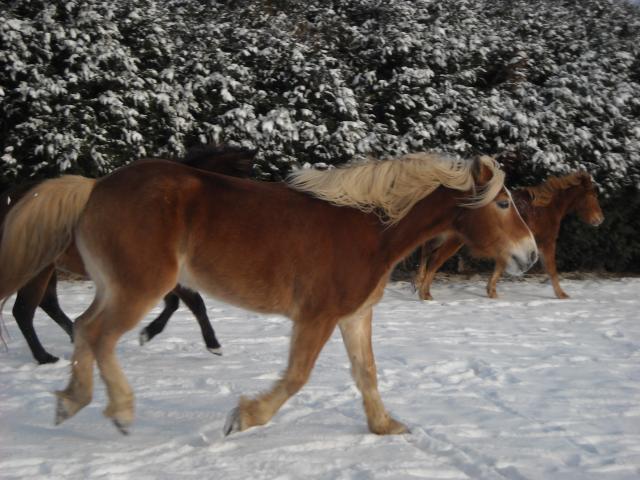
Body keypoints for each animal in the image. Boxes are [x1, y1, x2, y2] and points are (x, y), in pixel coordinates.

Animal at [1, 144, 258, 362]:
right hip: (38, 271)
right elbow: (195, 304)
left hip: (48, 270)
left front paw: (149, 332)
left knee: (48, 304)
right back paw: (45, 357)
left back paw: (74, 337)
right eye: (241, 179)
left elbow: (174, 303)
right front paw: (213, 344)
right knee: (24, 311)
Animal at [416, 172, 604, 300]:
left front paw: (491, 291)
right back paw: (425, 293)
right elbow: (551, 269)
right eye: (592, 195)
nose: (599, 220)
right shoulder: (547, 242)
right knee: (435, 259)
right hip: (453, 241)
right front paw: (561, 294)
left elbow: (500, 265)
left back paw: (418, 284)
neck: (545, 209)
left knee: (425, 252)